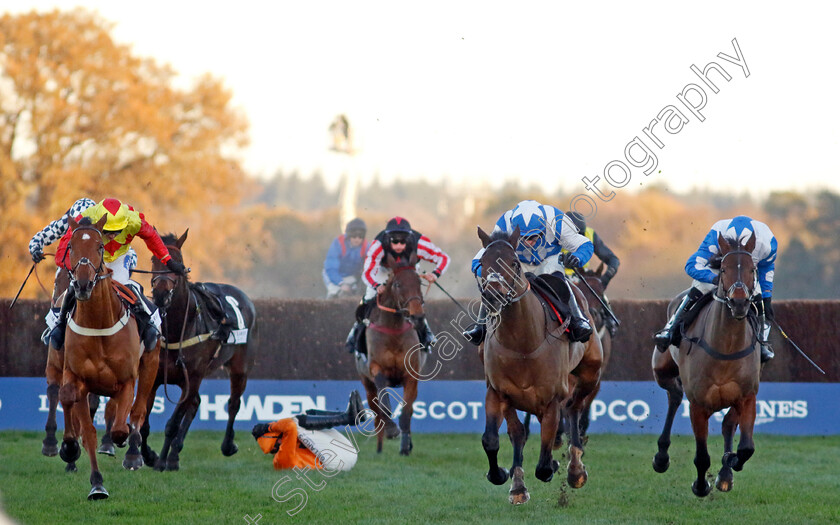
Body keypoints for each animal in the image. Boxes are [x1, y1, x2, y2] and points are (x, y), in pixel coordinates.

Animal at [59, 215, 159, 498]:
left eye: (99, 246)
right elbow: (85, 429)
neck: (99, 324)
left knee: (137, 412)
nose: (82, 284)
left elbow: (120, 428)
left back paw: (134, 454)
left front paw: (126, 445)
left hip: (151, 365)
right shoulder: (78, 378)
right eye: (71, 247)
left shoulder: (126, 381)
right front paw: (95, 482)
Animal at [143, 229, 258, 470]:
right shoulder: (157, 376)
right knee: (196, 404)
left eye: (178, 262)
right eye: (154, 260)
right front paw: (149, 455)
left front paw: (160, 460)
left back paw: (226, 445)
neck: (179, 329)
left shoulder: (192, 377)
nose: (161, 294)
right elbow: (143, 424)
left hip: (240, 367)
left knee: (233, 404)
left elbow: (172, 423)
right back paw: (175, 454)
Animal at [354, 251, 426, 454]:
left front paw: (405, 446)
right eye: (397, 284)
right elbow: (383, 404)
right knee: (376, 410)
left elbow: (407, 412)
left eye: (419, 282)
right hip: (366, 384)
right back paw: (380, 446)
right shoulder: (376, 370)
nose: (417, 316)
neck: (393, 330)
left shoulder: (411, 375)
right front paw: (392, 429)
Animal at [480, 227, 604, 506]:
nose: (493, 295)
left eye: (514, 263)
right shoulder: (497, 392)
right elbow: (493, 439)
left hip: (590, 373)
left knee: (574, 408)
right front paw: (504, 477)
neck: (522, 344)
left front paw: (556, 466)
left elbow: (545, 463)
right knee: (520, 432)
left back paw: (575, 469)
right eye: (481, 264)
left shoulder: (551, 400)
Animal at [652, 232, 764, 496]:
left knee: (727, 424)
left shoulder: (747, 396)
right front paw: (701, 485)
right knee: (674, 395)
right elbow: (702, 457)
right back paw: (661, 456)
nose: (739, 302)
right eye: (723, 269)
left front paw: (730, 463)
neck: (726, 348)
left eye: (752, 268)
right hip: (661, 368)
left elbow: (746, 448)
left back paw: (725, 474)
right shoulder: (698, 404)